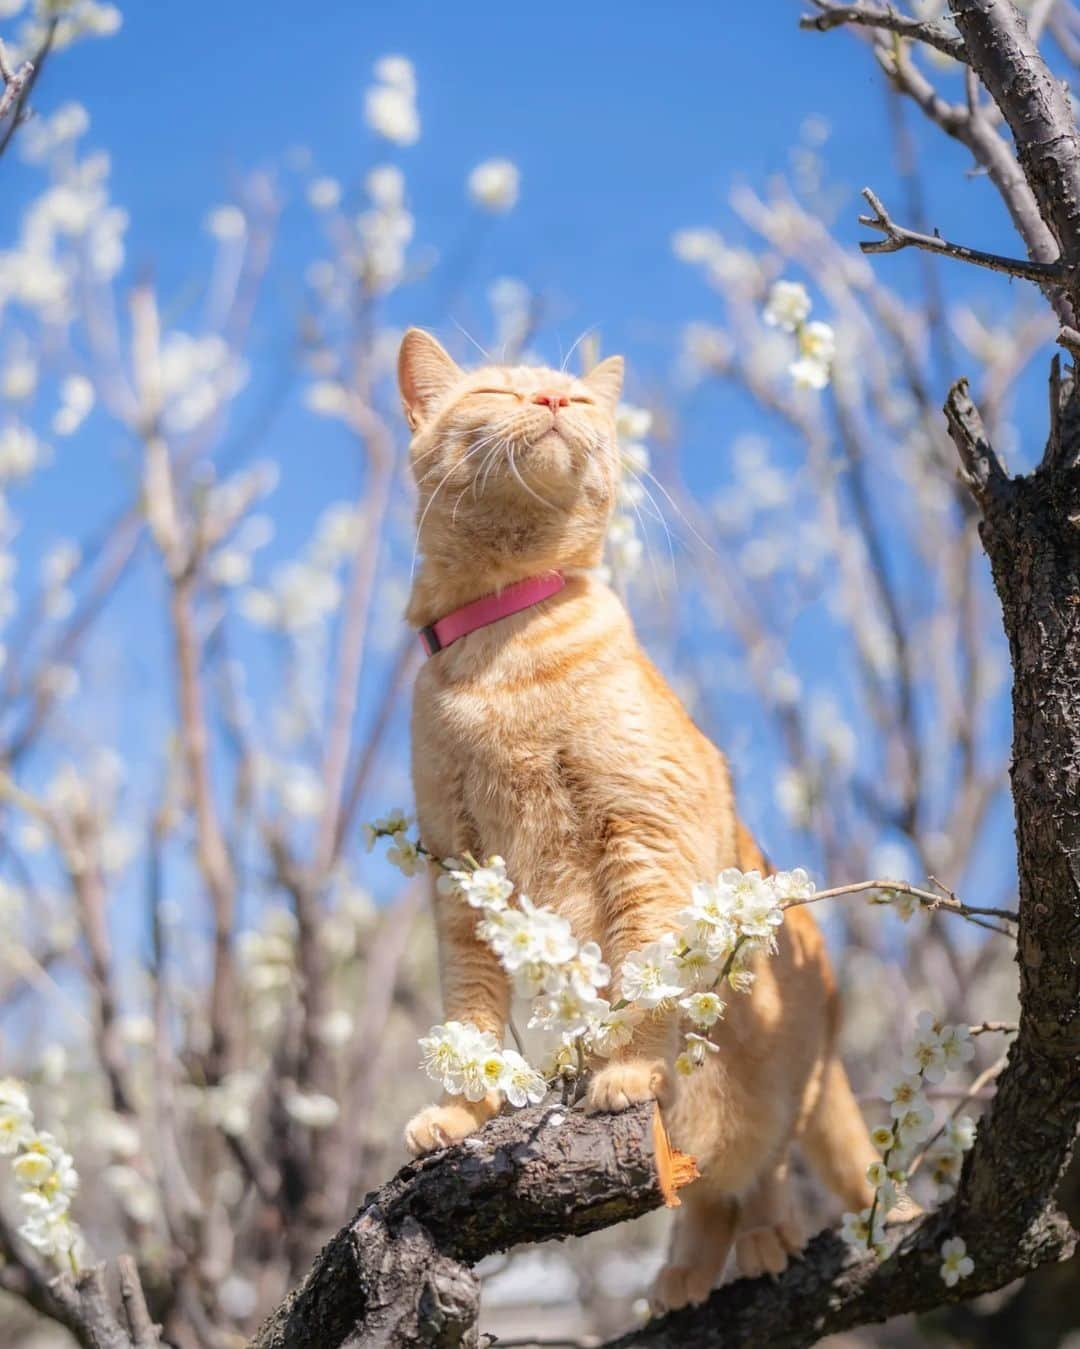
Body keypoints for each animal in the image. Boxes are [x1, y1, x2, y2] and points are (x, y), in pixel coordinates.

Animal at [396, 331, 873, 1311]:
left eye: (575, 399)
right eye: (501, 392)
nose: (548, 403)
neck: (501, 653)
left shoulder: (642, 837)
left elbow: (641, 975)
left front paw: (619, 1070)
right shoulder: (462, 876)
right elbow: (469, 1016)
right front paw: (460, 1112)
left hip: (778, 1082)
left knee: (761, 1172)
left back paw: (764, 1241)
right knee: (703, 1193)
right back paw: (685, 1275)